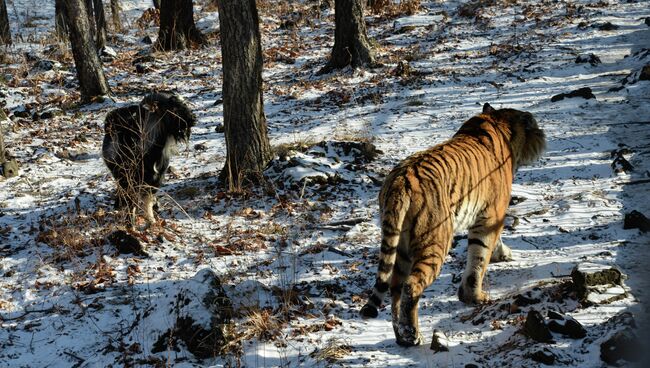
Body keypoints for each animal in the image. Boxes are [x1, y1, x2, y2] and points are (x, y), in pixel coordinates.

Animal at [356, 103, 544, 344]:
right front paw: (475, 296)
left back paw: (402, 336)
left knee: (395, 287)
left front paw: (502, 254)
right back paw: (413, 334)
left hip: (401, 245)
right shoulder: (491, 215)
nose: (541, 134)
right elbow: (479, 259)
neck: (497, 121)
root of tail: (399, 182)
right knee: (411, 285)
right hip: (436, 240)